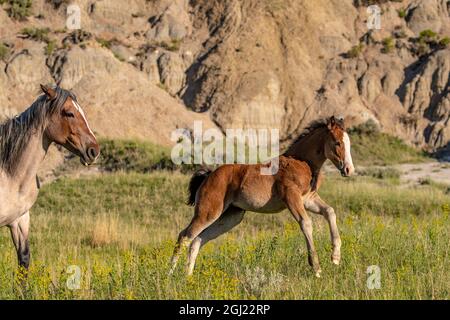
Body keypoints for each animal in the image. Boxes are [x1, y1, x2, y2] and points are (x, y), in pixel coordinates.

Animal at [170, 116, 356, 276]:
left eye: (348, 143)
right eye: (337, 142)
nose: (348, 170)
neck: (301, 162)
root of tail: (208, 176)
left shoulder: (308, 199)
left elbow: (330, 211)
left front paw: (335, 257)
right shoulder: (292, 197)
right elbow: (306, 223)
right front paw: (316, 267)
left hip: (230, 217)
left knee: (198, 240)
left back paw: (188, 277)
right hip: (208, 211)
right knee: (184, 236)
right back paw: (170, 275)